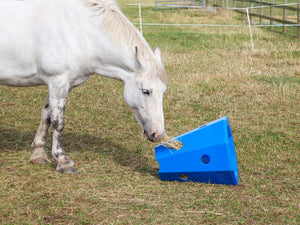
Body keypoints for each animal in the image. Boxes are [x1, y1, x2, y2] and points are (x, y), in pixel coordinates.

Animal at [0, 0, 168, 173]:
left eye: (163, 91)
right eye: (146, 91)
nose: (158, 133)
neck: (81, 31)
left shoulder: (56, 85)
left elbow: (46, 116)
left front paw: (39, 154)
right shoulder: (58, 81)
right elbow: (58, 122)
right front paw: (62, 161)